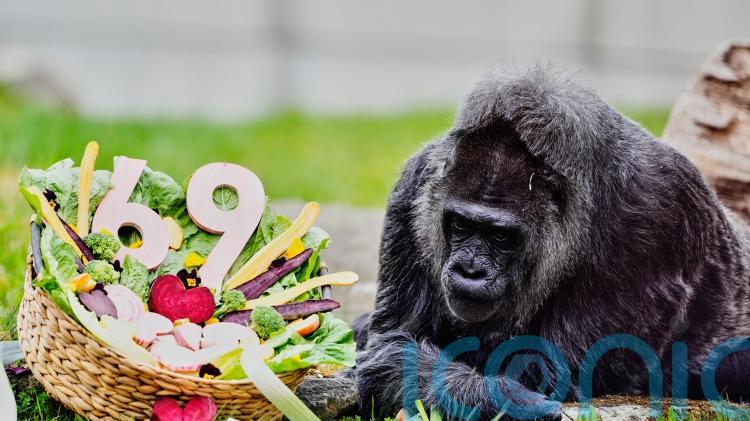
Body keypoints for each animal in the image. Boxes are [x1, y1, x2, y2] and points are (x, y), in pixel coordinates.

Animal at [353, 66, 750, 420]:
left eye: (501, 236)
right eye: (461, 225)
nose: (470, 271)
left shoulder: (657, 213)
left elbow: (538, 369)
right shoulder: (415, 184)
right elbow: (395, 336)